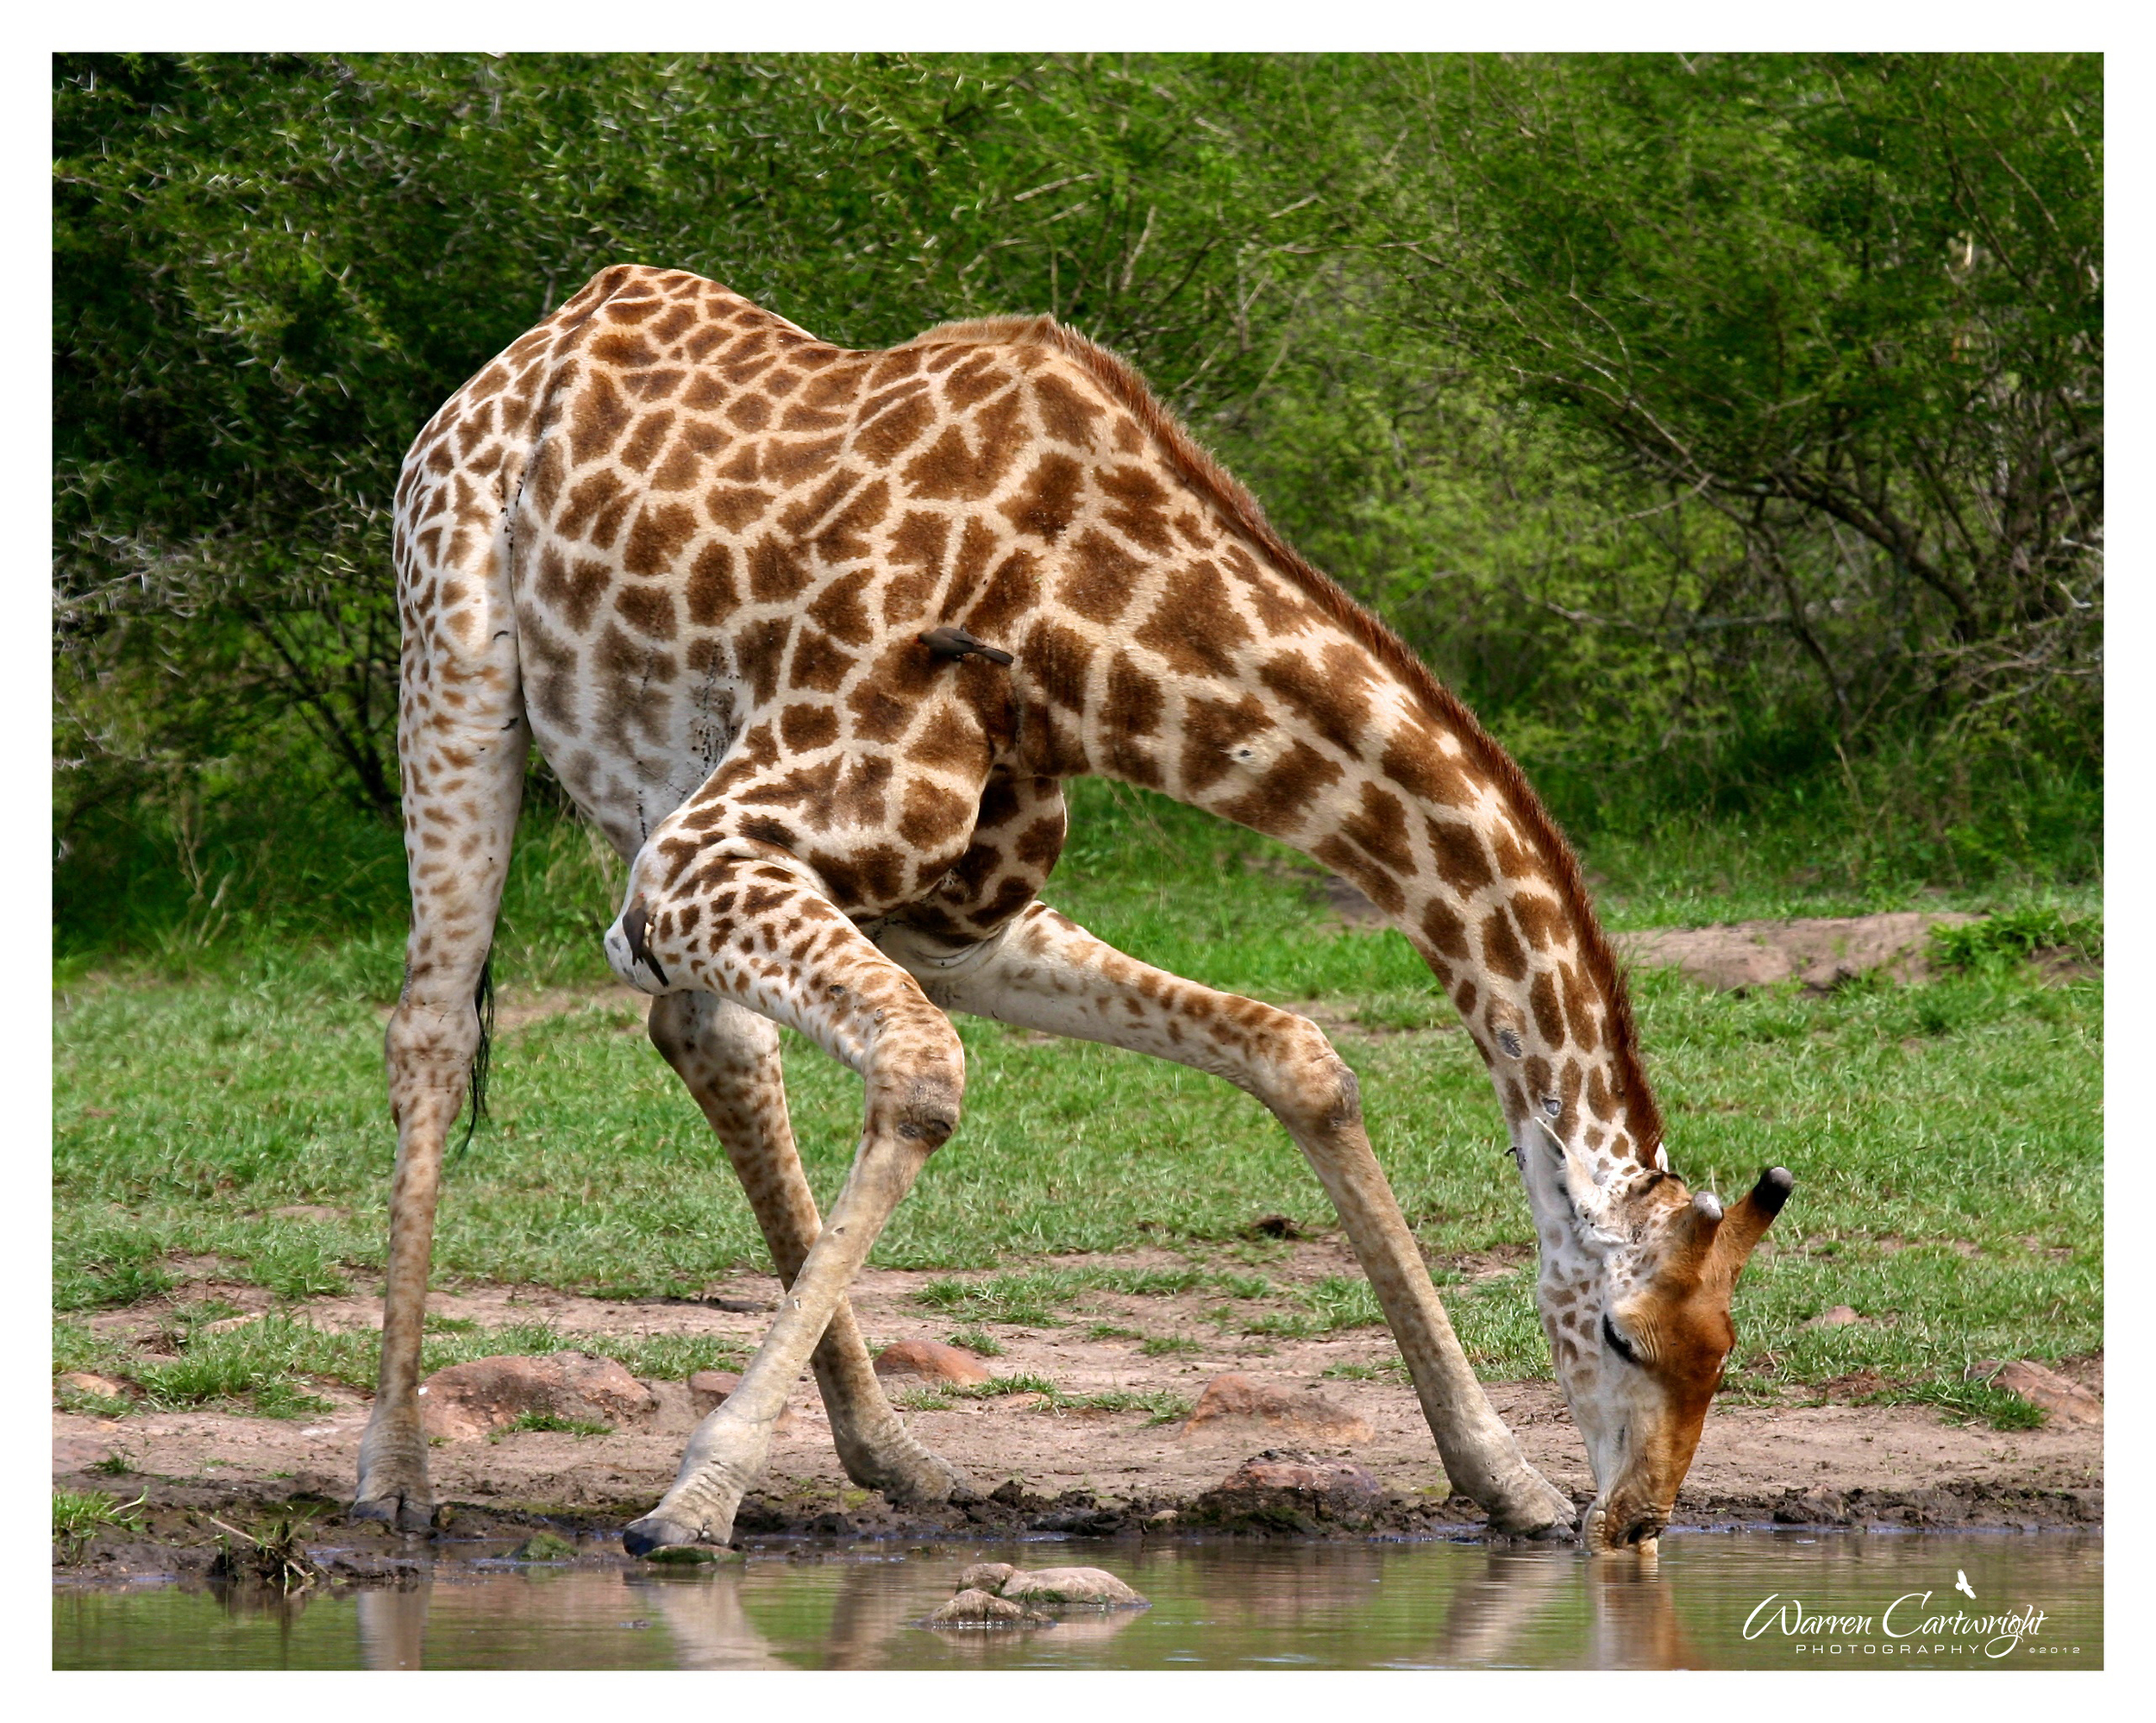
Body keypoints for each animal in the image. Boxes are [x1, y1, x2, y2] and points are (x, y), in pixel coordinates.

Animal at [362, 263, 1794, 1552]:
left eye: (1724, 1349)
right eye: (1619, 1331)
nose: (1636, 1518)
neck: (1095, 633)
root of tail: (537, 338)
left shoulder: (958, 918)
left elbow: (1297, 1052)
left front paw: (1507, 1477)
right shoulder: (698, 856)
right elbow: (926, 1073)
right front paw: (693, 1497)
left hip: (652, 770)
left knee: (708, 1035)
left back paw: (894, 1453)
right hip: (454, 656)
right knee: (430, 1027)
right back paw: (397, 1469)